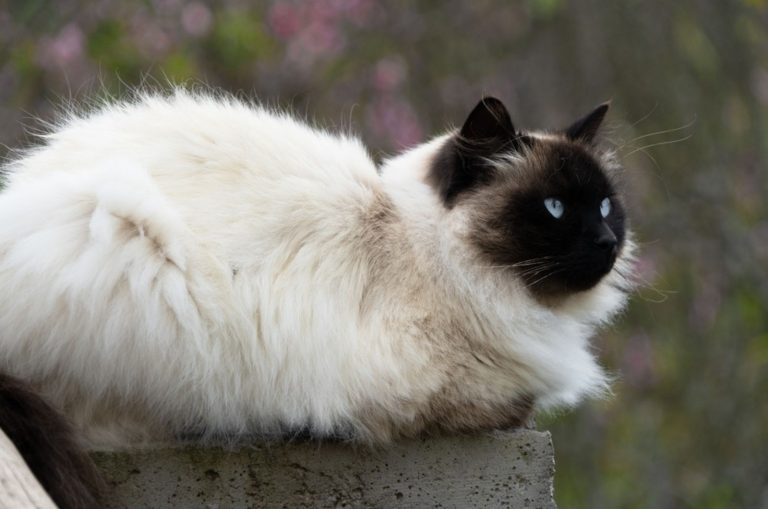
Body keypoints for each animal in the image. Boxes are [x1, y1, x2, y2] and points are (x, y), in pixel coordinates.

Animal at [0, 91, 632, 448]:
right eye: (554, 208)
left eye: (605, 206)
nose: (606, 244)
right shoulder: (429, 391)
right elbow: (511, 406)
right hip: (126, 231)